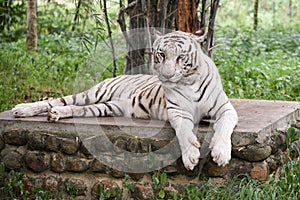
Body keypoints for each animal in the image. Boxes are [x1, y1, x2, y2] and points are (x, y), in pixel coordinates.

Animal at [11, 30, 238, 170]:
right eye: (161, 55)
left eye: (181, 57)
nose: (165, 76)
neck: (189, 80)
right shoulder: (177, 111)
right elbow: (183, 131)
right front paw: (191, 155)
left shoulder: (225, 108)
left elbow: (224, 126)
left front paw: (221, 153)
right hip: (93, 93)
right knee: (56, 100)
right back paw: (22, 109)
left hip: (105, 107)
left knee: (76, 108)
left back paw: (56, 114)